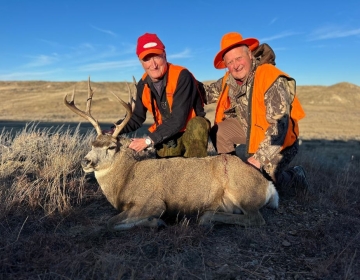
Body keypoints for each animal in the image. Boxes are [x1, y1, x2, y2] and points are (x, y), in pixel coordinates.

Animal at [64, 78, 278, 230]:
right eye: (93, 144)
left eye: (111, 147)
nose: (85, 161)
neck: (126, 179)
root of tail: (269, 186)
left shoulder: (152, 202)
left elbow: (109, 223)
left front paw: (156, 223)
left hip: (243, 193)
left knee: (256, 219)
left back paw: (206, 218)